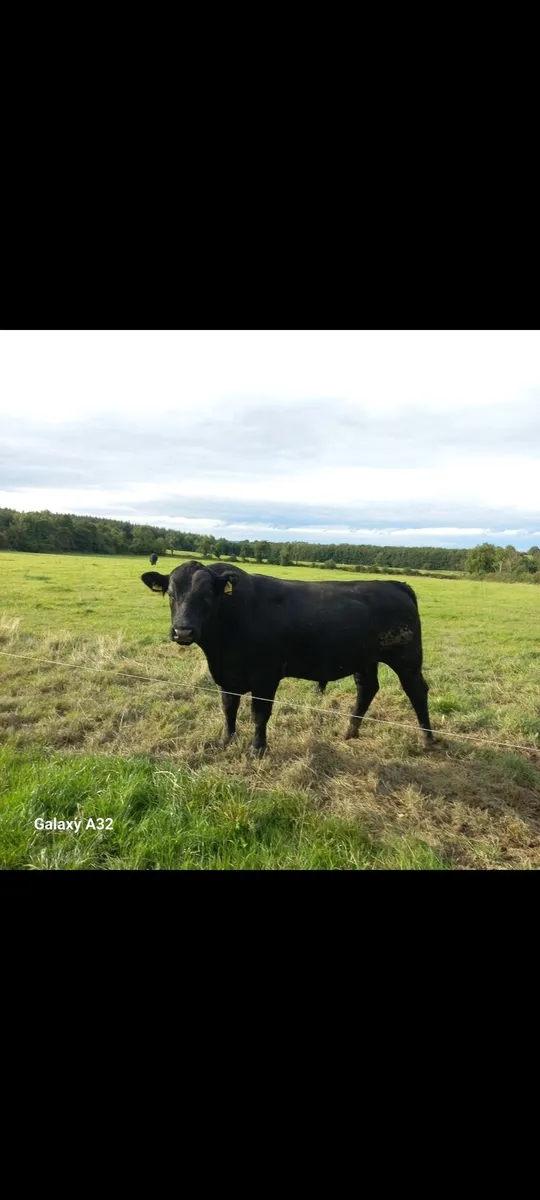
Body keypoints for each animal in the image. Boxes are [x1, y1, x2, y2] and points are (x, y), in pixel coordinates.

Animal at [141, 560, 434, 756]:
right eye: (170, 594)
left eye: (206, 595)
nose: (183, 630)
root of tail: (395, 585)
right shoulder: (226, 676)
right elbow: (228, 708)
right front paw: (226, 740)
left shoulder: (265, 676)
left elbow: (259, 714)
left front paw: (257, 749)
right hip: (364, 659)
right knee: (367, 689)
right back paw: (350, 731)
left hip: (406, 658)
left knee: (417, 691)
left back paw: (427, 739)